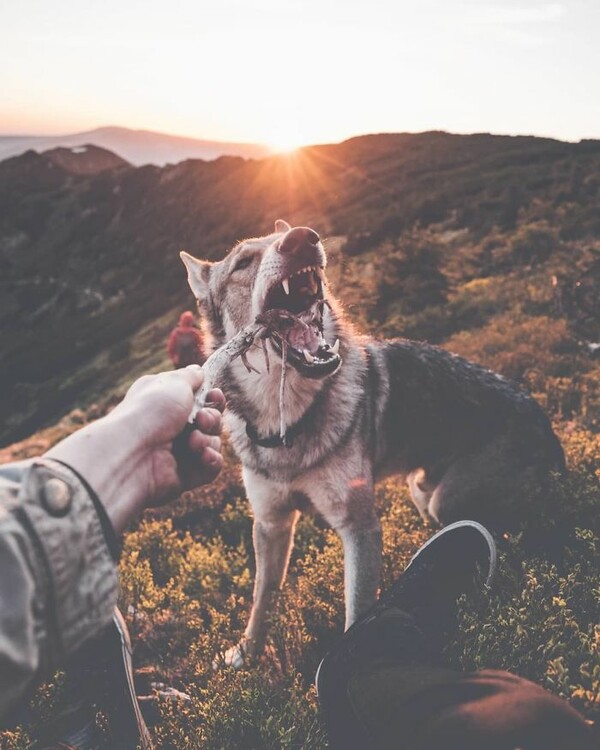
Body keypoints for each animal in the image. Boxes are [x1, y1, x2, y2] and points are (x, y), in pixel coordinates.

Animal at [180, 220, 564, 668]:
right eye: (242, 262)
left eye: (287, 234)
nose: (301, 238)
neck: (288, 424)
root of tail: (548, 428)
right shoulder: (271, 523)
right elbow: (261, 600)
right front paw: (245, 655)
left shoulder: (357, 527)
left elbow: (357, 613)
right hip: (421, 492)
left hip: (443, 499)